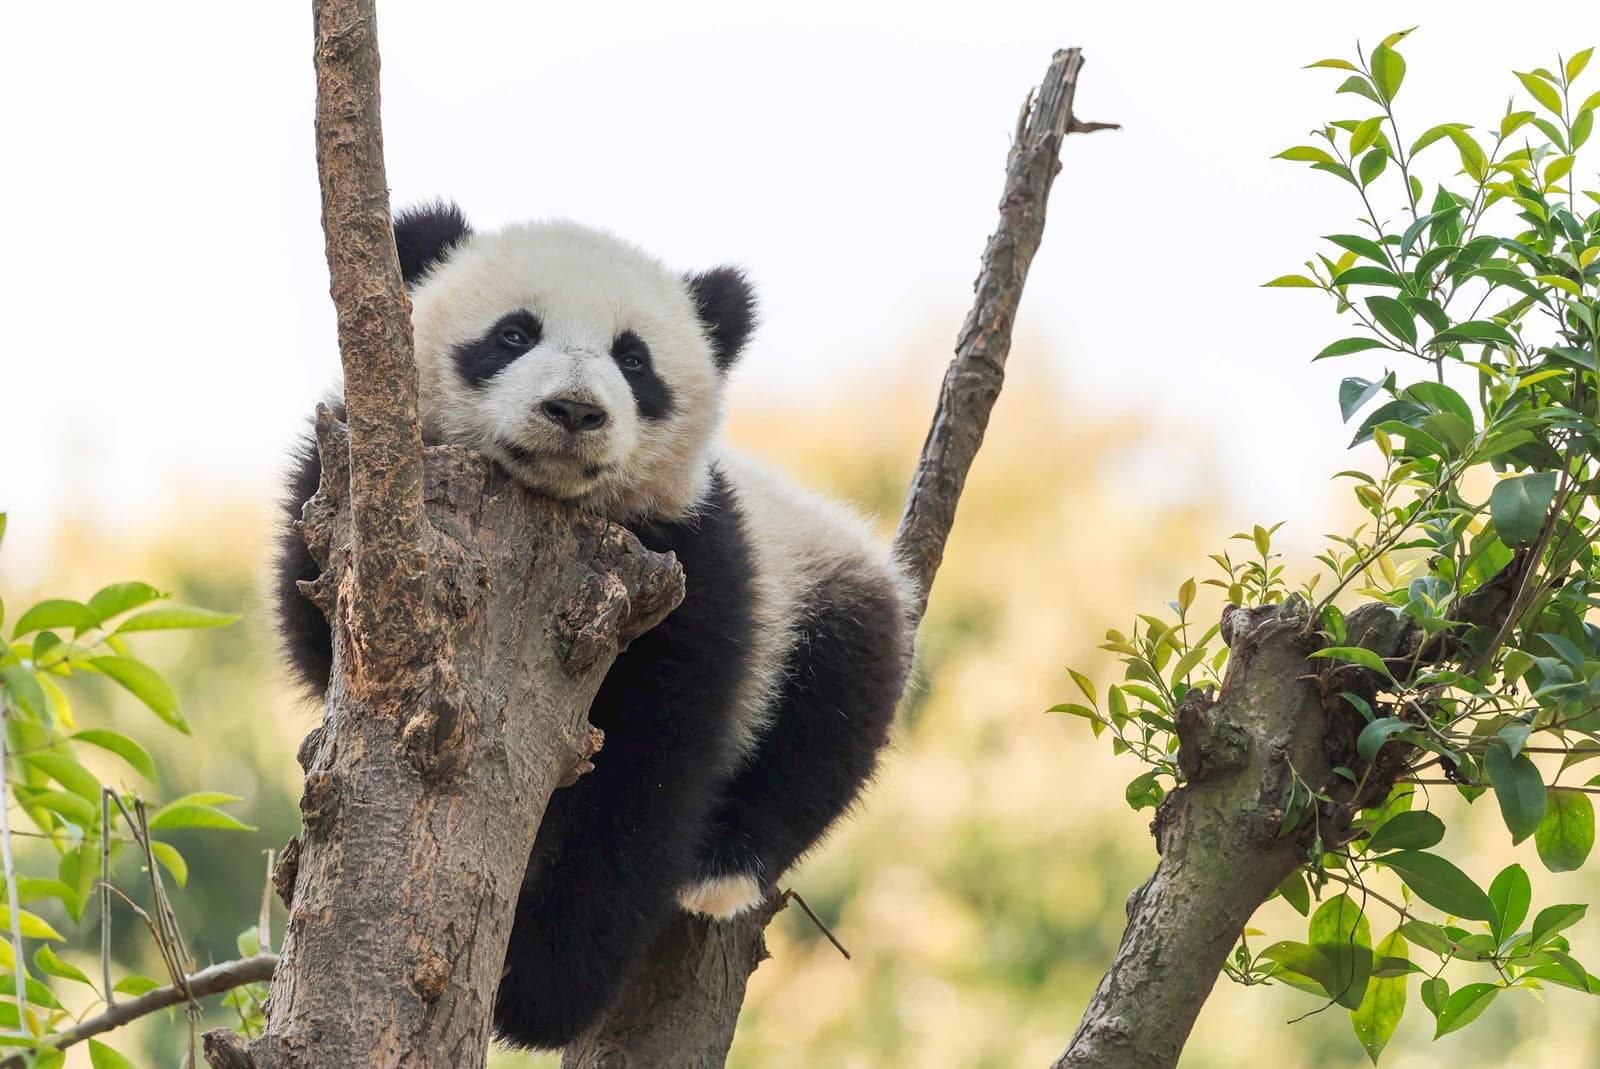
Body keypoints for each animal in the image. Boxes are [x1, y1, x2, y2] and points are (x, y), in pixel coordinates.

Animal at [274, 202, 915, 1050]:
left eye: (634, 359)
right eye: (514, 334)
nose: (576, 410)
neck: (553, 508)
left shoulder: (692, 562)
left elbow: (649, 767)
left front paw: (536, 987)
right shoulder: (348, 496)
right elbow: (315, 622)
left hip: (817, 581)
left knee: (833, 710)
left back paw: (722, 867)